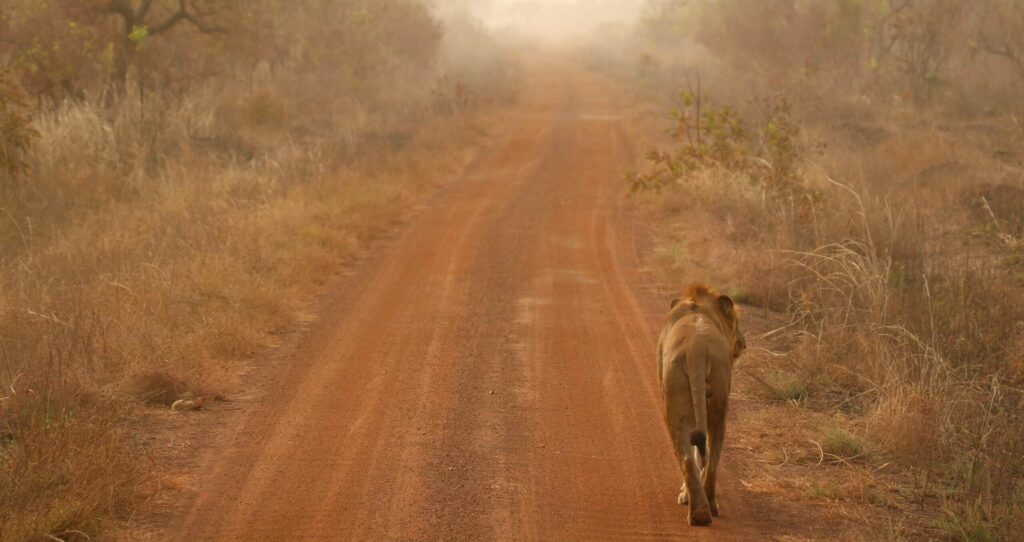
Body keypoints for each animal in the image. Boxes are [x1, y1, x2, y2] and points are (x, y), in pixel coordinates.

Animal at [657, 284, 745, 526]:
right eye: (737, 323)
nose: (744, 344)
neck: (699, 304)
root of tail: (696, 347)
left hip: (675, 404)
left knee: (688, 457)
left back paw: (699, 510)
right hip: (718, 403)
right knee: (710, 459)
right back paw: (706, 510)